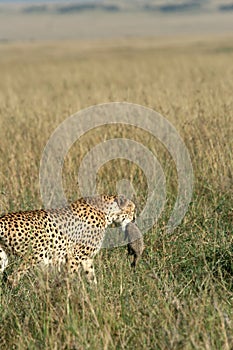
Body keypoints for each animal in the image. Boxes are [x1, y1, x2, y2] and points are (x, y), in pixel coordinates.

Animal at [0, 194, 135, 288]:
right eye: (132, 210)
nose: (134, 219)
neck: (107, 213)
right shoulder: (74, 256)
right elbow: (70, 277)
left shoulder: (86, 258)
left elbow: (91, 277)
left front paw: (96, 296)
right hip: (36, 255)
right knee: (12, 277)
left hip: (3, 259)